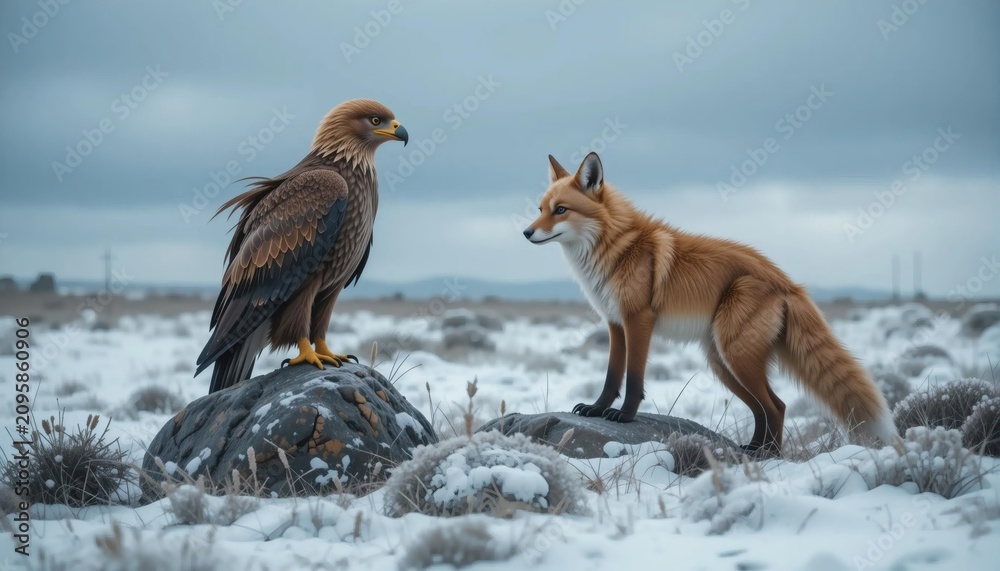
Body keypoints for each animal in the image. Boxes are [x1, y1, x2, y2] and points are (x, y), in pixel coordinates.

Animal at [522, 152, 898, 455]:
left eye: (560, 210)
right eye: (540, 210)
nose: (526, 233)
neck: (616, 247)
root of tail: (788, 282)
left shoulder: (638, 319)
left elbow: (634, 377)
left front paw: (625, 416)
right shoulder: (614, 322)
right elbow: (612, 375)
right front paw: (598, 409)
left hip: (736, 355)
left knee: (776, 407)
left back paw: (769, 456)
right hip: (723, 362)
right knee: (765, 407)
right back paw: (754, 449)